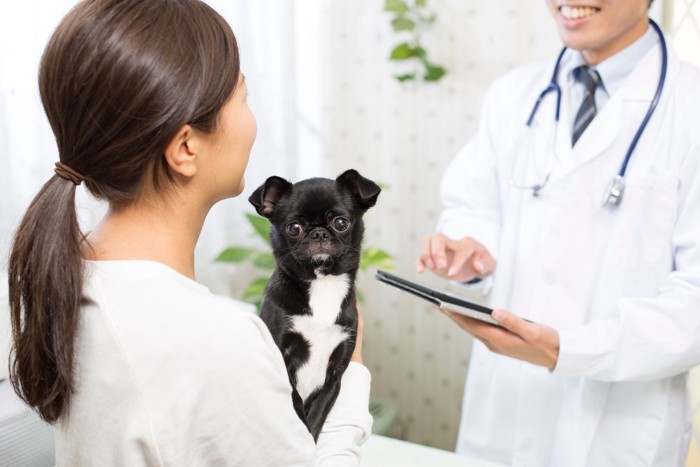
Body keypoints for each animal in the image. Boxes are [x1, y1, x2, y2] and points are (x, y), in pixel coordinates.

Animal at [249, 170, 380, 440]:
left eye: (341, 223)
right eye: (294, 228)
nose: (319, 233)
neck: (322, 282)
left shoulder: (334, 377)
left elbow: (315, 420)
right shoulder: (282, 361)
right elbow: (297, 408)